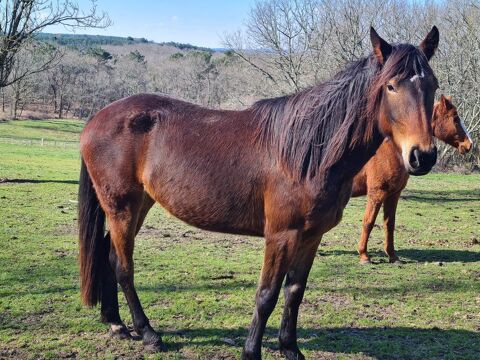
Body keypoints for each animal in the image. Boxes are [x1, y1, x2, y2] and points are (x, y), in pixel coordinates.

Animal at [78, 26, 438, 358]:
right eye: (391, 86)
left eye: (432, 86)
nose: (423, 156)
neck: (308, 153)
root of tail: (97, 117)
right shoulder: (281, 235)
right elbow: (266, 295)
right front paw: (252, 351)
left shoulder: (311, 236)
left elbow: (295, 291)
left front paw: (290, 348)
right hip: (122, 207)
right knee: (123, 265)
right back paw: (148, 333)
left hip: (140, 204)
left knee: (108, 253)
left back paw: (116, 323)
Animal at [350, 95, 474, 264]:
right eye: (455, 118)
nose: (469, 144)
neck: (391, 149)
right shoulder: (377, 194)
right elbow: (368, 222)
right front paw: (364, 255)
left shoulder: (393, 194)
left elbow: (389, 224)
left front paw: (393, 256)